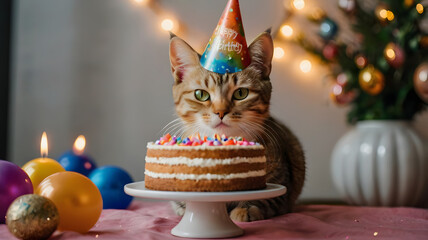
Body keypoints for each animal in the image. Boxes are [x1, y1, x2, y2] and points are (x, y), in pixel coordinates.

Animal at [169, 29, 306, 221]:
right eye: (200, 94)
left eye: (241, 93)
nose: (220, 112)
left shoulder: (282, 186)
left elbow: (266, 198)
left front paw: (244, 210)